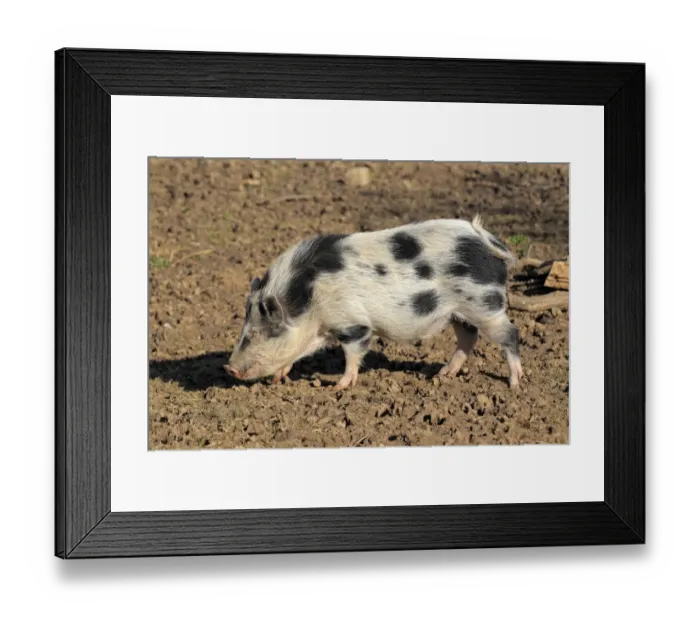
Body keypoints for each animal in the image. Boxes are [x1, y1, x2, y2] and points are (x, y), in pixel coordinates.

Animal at [223, 216, 523, 389]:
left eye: (258, 333)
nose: (229, 368)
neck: (308, 297)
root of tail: (489, 241)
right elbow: (300, 352)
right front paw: (279, 377)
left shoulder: (352, 323)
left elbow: (353, 353)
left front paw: (339, 387)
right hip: (458, 313)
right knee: (468, 338)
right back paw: (442, 375)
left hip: (485, 305)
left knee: (511, 334)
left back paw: (514, 383)